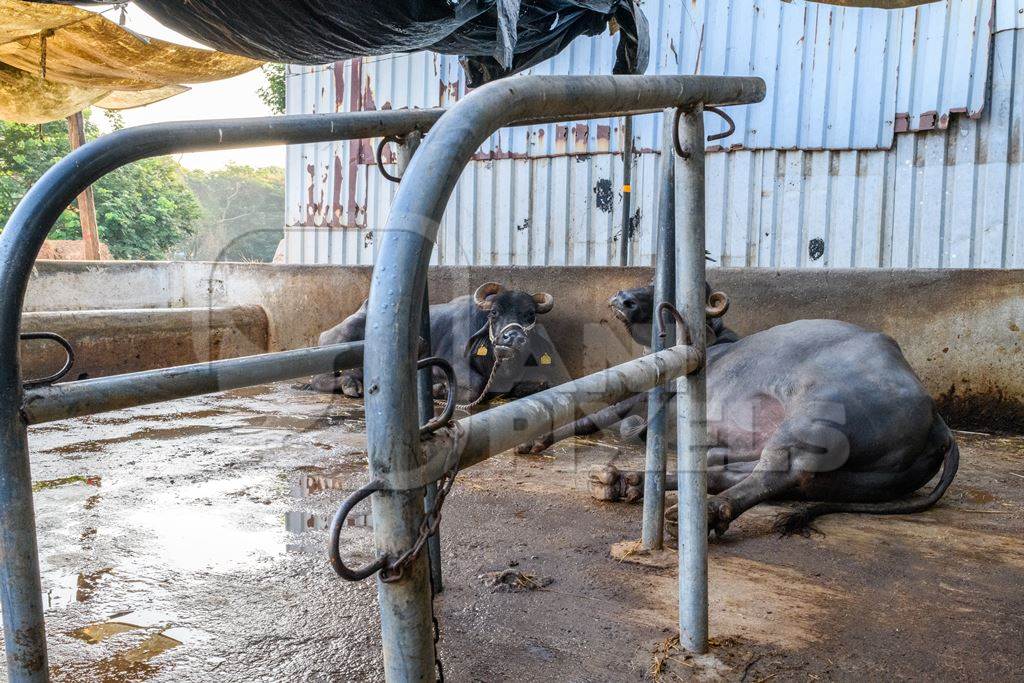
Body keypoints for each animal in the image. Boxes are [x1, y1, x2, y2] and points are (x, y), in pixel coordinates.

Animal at [299, 282, 565, 405]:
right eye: (494, 313)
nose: (513, 338)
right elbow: (476, 386)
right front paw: (439, 389)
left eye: (529, 315)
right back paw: (350, 385)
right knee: (320, 380)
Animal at [528, 286, 958, 536]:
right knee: (730, 472)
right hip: (850, 480)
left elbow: (593, 417)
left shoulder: (639, 401)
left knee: (775, 472)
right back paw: (625, 482)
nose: (623, 299)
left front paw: (537, 438)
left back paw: (704, 513)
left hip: (814, 419)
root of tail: (938, 421)